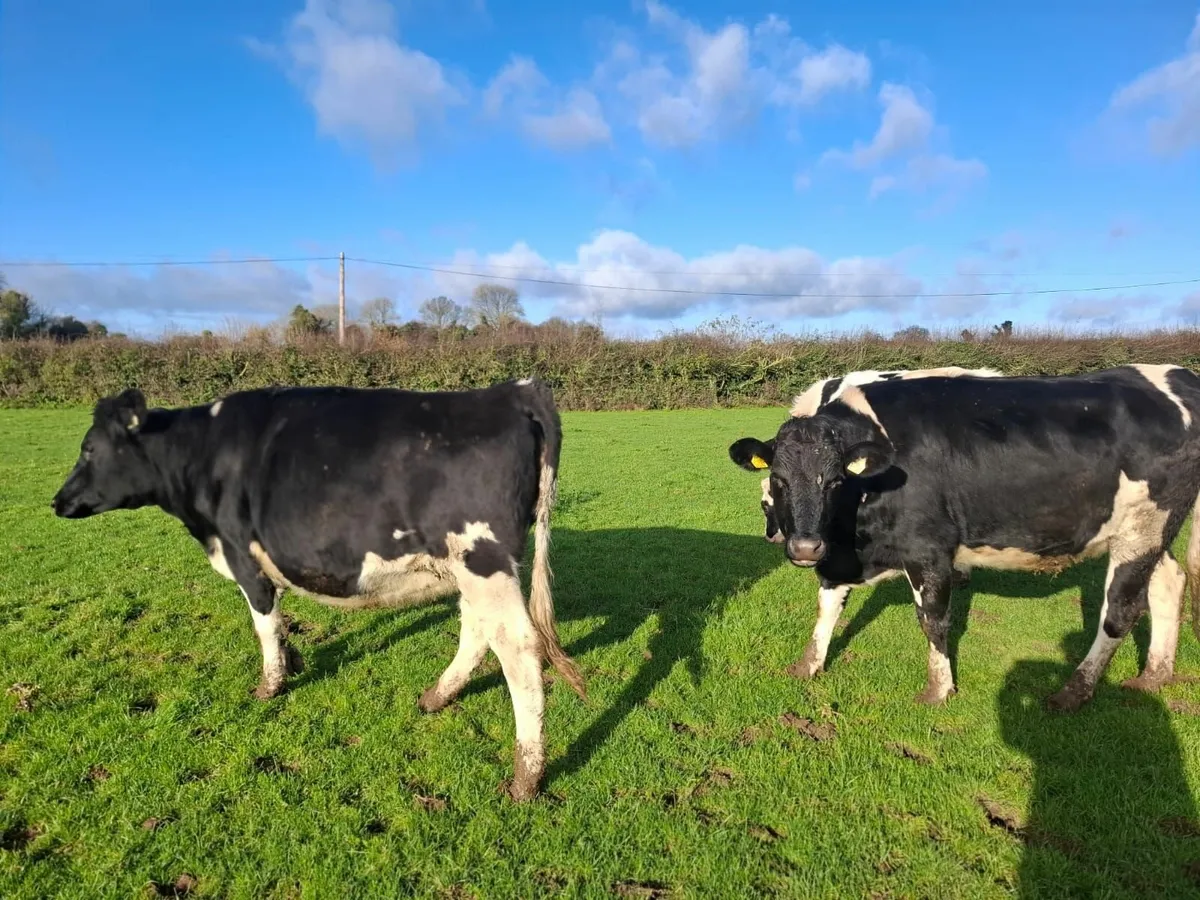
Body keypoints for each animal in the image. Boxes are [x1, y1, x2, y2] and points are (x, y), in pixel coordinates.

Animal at [50, 378, 585, 801]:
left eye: (90, 448)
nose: (58, 501)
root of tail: (512, 390)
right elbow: (281, 623)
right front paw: (295, 662)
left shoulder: (244, 557)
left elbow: (264, 625)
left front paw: (270, 685)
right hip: (474, 567)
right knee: (477, 630)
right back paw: (436, 696)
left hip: (483, 559)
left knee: (517, 647)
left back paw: (526, 776)